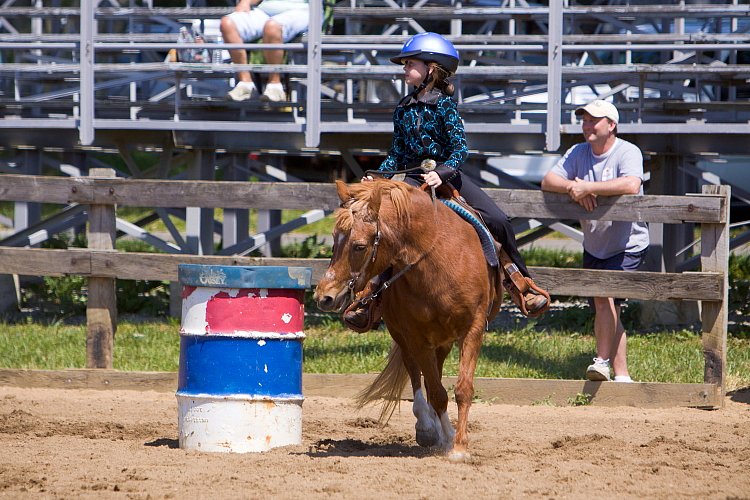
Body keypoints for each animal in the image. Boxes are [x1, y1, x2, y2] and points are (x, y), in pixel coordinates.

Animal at [314, 179, 502, 460]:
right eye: (334, 241)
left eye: (359, 246)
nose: (324, 297)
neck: (440, 263)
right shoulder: (416, 336)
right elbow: (436, 392)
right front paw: (447, 439)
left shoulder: (473, 329)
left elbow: (463, 389)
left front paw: (459, 447)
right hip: (404, 336)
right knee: (416, 373)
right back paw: (427, 428)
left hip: (443, 339)